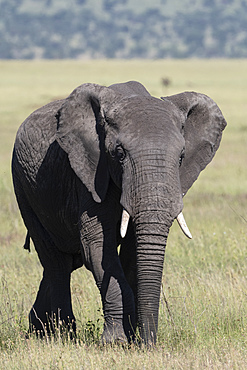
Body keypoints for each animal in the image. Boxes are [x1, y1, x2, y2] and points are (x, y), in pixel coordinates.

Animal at [12, 79, 227, 346]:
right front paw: (116, 342)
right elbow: (97, 247)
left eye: (181, 157)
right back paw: (63, 335)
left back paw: (38, 331)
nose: (149, 344)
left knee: (63, 263)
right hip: (23, 187)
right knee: (56, 262)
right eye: (120, 154)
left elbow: (132, 253)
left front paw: (132, 337)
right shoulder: (89, 175)